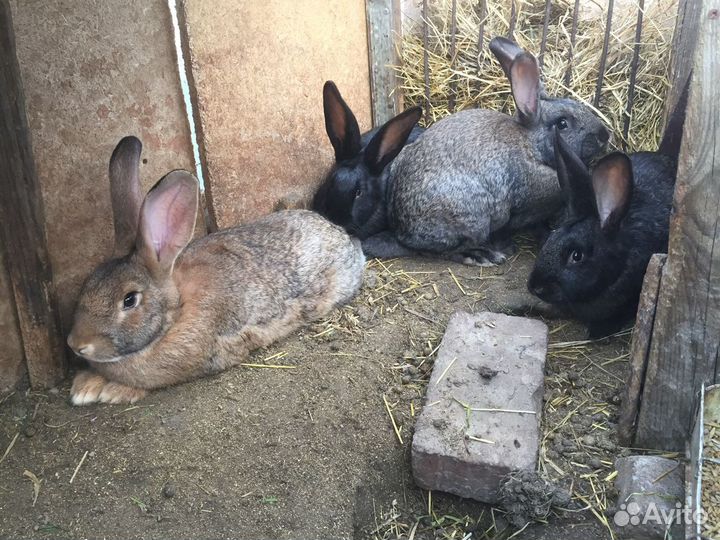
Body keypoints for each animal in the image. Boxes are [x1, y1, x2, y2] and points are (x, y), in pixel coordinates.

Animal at [66, 136, 365, 405]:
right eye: (86, 285)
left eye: (129, 300)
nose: (75, 344)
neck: (176, 312)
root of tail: (339, 233)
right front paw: (85, 386)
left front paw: (111, 391)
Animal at [361, 37, 610, 265]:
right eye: (562, 124)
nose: (604, 135)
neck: (532, 147)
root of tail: (401, 232)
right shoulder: (519, 211)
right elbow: (508, 229)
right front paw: (507, 247)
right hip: (473, 220)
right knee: (439, 251)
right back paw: (480, 255)